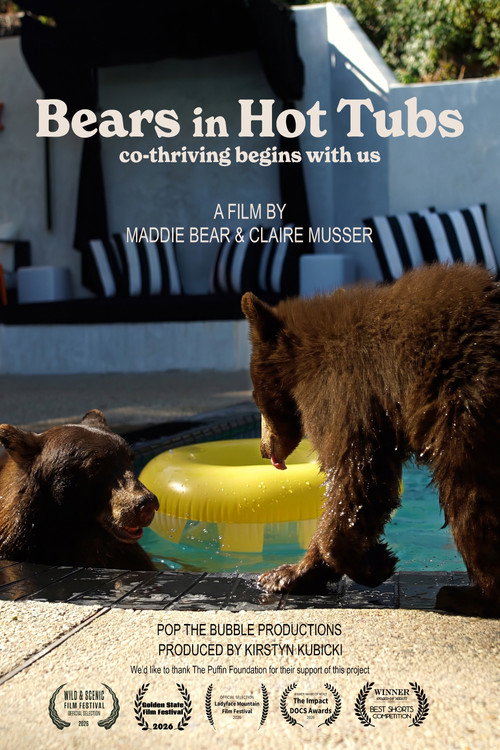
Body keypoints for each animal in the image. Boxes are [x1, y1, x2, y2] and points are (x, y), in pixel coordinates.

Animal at [242, 263, 500, 617]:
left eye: (256, 398)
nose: (263, 449)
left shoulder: (345, 390)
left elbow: (356, 474)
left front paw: (375, 562)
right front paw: (288, 574)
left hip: (465, 402)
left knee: (468, 491)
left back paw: (471, 594)